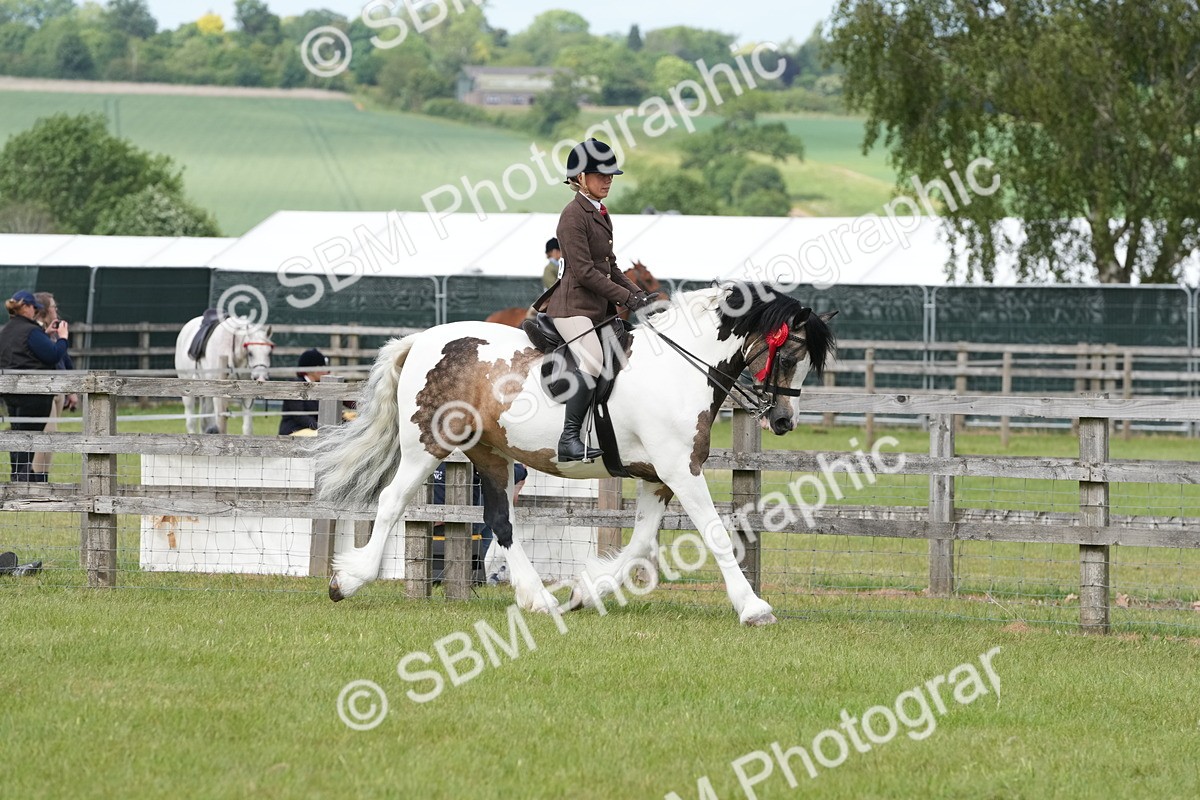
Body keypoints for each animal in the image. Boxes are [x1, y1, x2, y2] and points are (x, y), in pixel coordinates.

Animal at [315, 282, 835, 625]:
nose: (784, 421)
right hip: (427, 445)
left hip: (491, 453)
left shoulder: (658, 478)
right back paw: (348, 580)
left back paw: (540, 600)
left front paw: (587, 592)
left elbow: (640, 544)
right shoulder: (680, 470)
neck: (679, 367)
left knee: (501, 522)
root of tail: (421, 339)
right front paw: (754, 608)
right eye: (790, 355)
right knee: (392, 502)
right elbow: (715, 533)